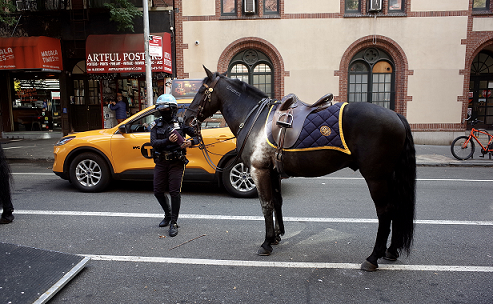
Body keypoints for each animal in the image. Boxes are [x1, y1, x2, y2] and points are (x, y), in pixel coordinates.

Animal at [184, 67, 416, 270]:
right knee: (396, 208)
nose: (185, 120)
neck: (255, 119)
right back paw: (391, 251)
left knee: (385, 212)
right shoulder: (273, 172)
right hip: (389, 176)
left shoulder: (259, 170)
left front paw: (266, 243)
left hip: (376, 177)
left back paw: (373, 258)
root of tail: (396, 116)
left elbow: (266, 205)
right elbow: (277, 202)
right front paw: (277, 236)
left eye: (202, 90)